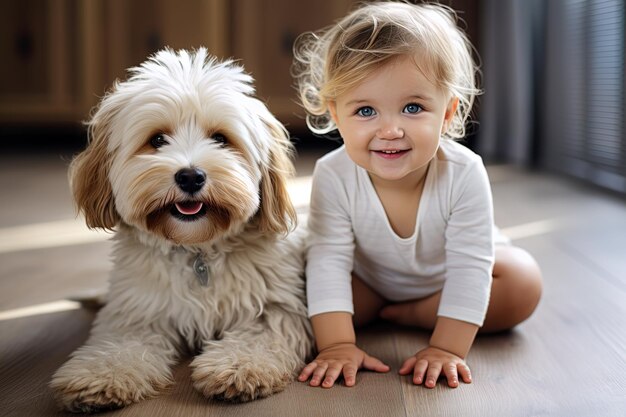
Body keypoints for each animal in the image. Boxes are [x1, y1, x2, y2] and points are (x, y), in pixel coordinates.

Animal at [50, 47, 312, 412]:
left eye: (220, 139)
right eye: (157, 140)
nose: (190, 176)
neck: (197, 251)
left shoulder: (276, 308)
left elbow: (259, 337)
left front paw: (238, 367)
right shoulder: (137, 313)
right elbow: (118, 346)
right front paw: (100, 376)